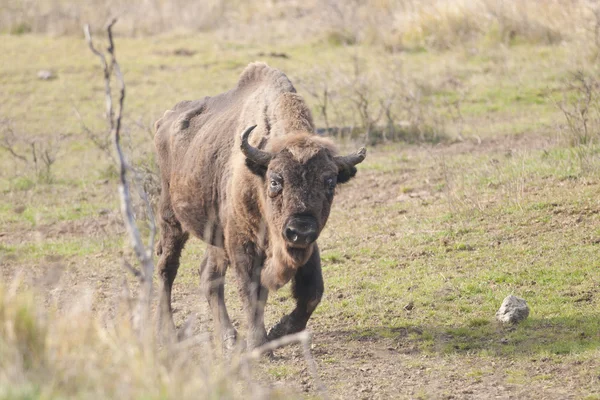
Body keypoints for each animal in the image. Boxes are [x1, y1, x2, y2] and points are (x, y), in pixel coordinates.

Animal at [154, 61, 366, 348]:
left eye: (330, 182)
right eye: (275, 180)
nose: (300, 230)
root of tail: (164, 120)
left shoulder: (307, 246)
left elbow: (313, 291)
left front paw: (278, 332)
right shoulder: (243, 241)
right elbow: (252, 292)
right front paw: (259, 345)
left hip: (216, 235)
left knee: (209, 276)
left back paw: (229, 338)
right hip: (171, 220)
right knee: (168, 268)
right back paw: (168, 332)